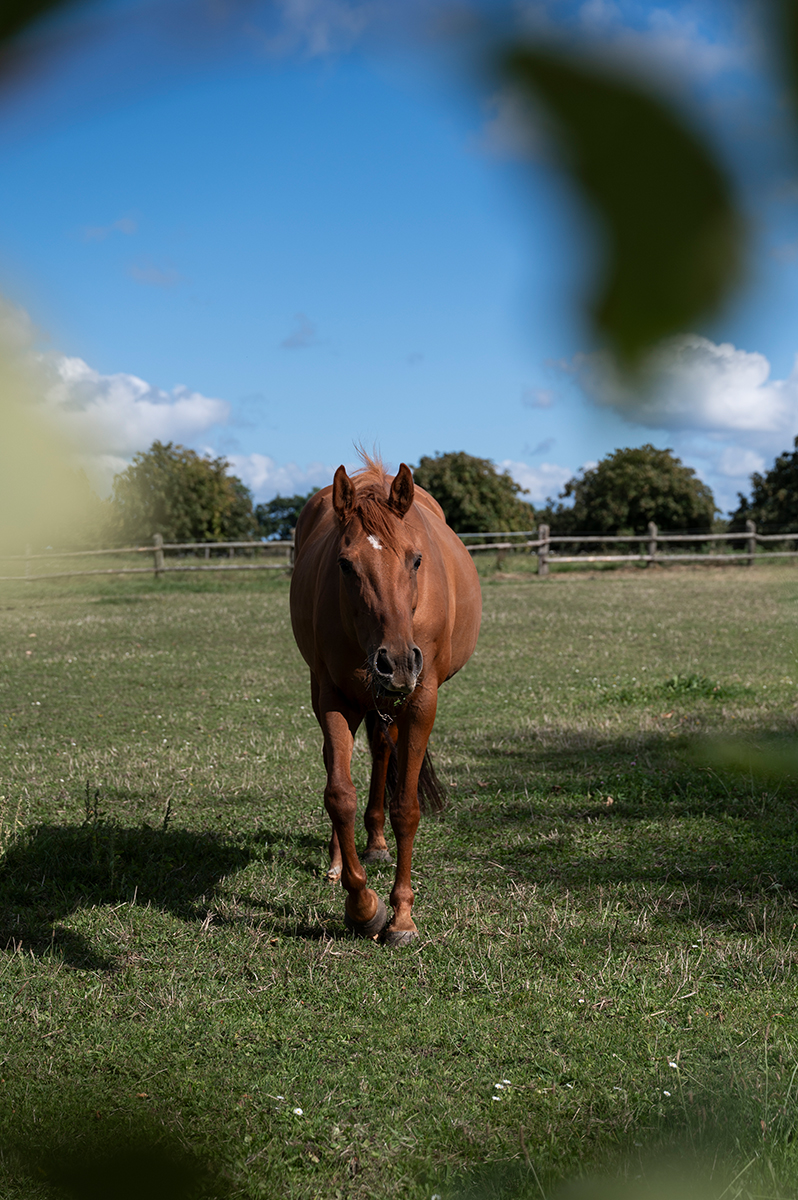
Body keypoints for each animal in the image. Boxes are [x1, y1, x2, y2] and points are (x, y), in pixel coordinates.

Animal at [289, 454, 482, 945]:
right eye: (344, 564)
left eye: (416, 560)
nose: (394, 662)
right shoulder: (333, 696)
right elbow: (339, 794)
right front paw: (363, 907)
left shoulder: (420, 702)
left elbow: (406, 809)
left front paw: (402, 916)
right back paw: (341, 860)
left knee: (382, 750)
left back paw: (376, 845)